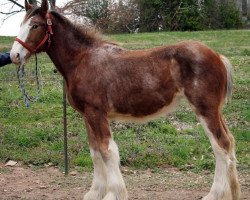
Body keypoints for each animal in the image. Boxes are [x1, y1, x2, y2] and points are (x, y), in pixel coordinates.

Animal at [9, 0, 240, 200]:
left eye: (35, 25)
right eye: (20, 24)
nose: (14, 56)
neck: (82, 60)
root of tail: (218, 56)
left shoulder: (97, 113)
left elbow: (107, 151)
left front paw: (113, 194)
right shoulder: (87, 116)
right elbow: (95, 152)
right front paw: (95, 192)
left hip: (205, 109)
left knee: (220, 146)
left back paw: (214, 194)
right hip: (215, 111)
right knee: (229, 143)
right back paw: (233, 191)